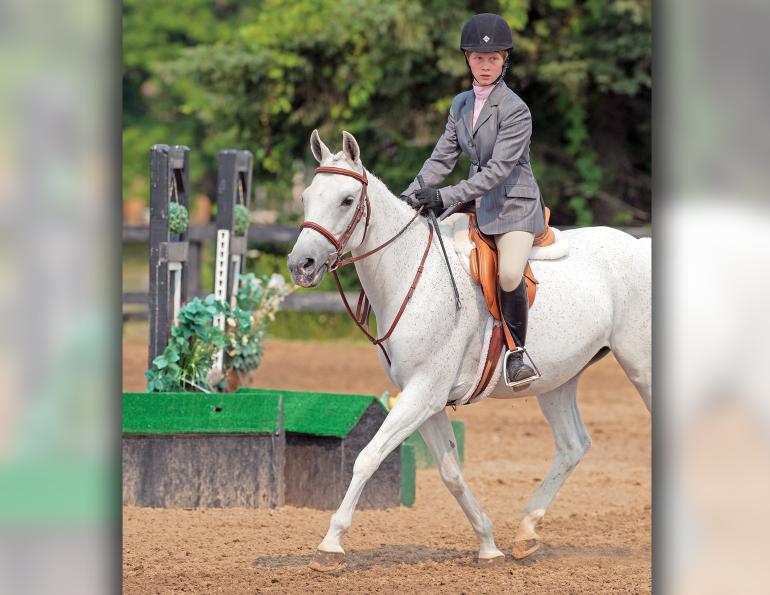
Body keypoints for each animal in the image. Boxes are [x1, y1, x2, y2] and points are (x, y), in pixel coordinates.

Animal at [287, 130, 651, 570]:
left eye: (346, 200)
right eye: (306, 196)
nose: (301, 265)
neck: (409, 273)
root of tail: (641, 246)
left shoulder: (423, 393)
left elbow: (367, 457)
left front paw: (330, 545)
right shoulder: (424, 400)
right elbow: (451, 474)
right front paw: (488, 543)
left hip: (642, 367)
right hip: (557, 381)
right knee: (573, 446)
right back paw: (526, 533)